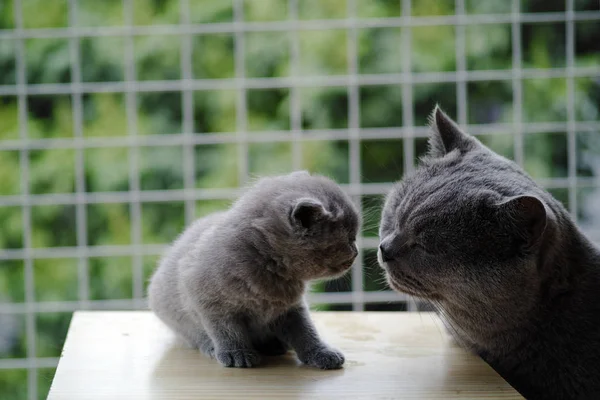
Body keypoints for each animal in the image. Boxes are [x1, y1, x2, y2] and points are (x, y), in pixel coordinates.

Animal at [148, 170, 358, 370]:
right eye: (350, 237)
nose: (356, 252)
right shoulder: (209, 301)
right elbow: (227, 330)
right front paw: (236, 353)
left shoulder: (291, 308)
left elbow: (306, 332)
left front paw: (321, 352)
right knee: (192, 335)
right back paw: (211, 347)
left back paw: (274, 345)